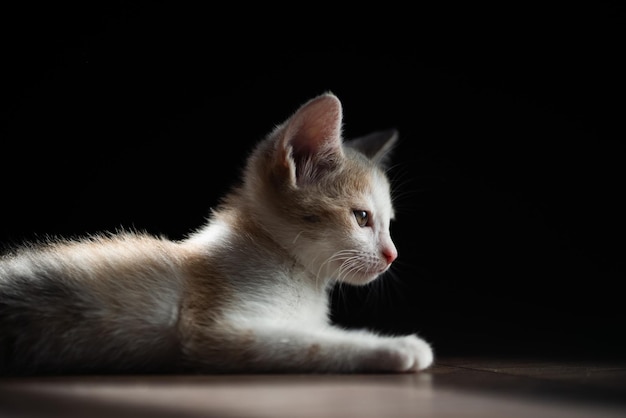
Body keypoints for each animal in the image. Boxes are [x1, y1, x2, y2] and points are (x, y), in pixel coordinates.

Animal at [0, 93, 432, 374]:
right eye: (361, 217)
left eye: (389, 224)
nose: (392, 254)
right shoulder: (216, 330)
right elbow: (309, 343)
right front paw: (396, 346)